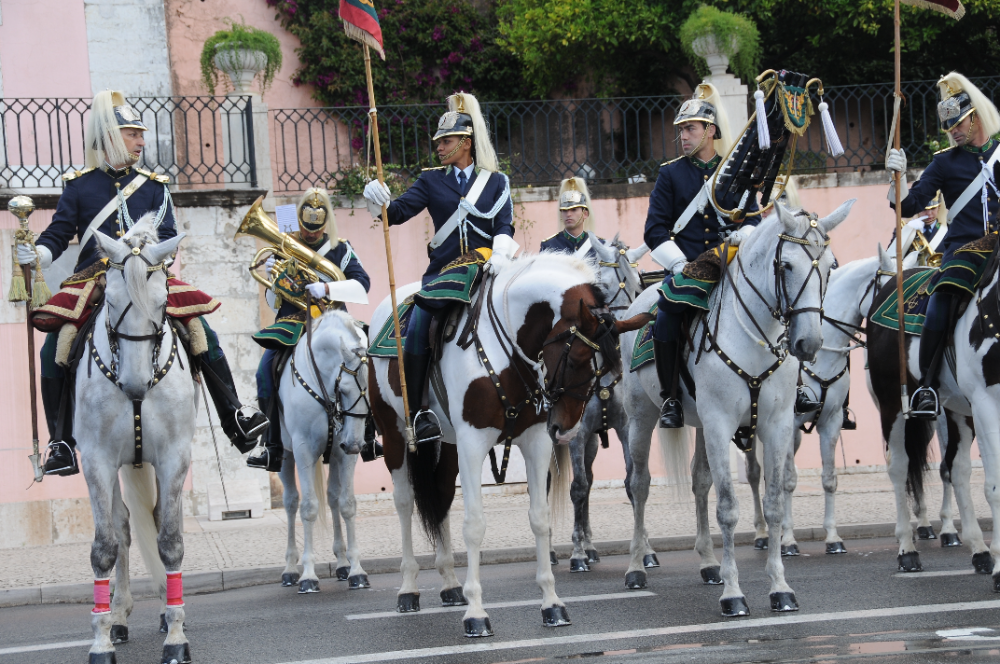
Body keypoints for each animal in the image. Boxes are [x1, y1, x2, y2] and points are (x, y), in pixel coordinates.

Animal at [81, 218, 194, 664]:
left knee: (156, 520)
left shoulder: (174, 457)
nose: (134, 386)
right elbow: (105, 547)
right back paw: (118, 616)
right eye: (109, 300)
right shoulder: (96, 461)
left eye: (163, 302)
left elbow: (171, 541)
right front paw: (100, 640)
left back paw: (165, 608)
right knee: (123, 530)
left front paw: (176, 635)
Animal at [278, 308, 372, 592]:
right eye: (344, 389)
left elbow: (347, 504)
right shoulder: (303, 450)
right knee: (291, 503)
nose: (355, 444)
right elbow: (308, 508)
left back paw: (341, 563)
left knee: (332, 498)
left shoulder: (343, 455)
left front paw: (356, 570)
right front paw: (308, 575)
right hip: (285, 456)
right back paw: (290, 569)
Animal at [372, 252, 644, 636]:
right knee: (404, 502)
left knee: (441, 495)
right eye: (576, 359)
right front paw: (476, 613)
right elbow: (474, 525)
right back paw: (409, 588)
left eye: (607, 369)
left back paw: (450, 583)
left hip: (448, 443)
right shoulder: (473, 441)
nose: (565, 429)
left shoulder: (534, 440)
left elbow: (540, 518)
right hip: (394, 434)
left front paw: (552, 604)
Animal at [620, 204, 848, 616]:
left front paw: (779, 588)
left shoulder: (775, 426)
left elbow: (773, 504)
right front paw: (733, 594)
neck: (754, 337)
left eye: (830, 265)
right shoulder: (719, 423)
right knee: (639, 485)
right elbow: (727, 508)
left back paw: (710, 563)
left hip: (698, 425)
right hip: (641, 418)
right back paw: (635, 567)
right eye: (785, 266)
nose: (808, 344)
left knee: (699, 481)